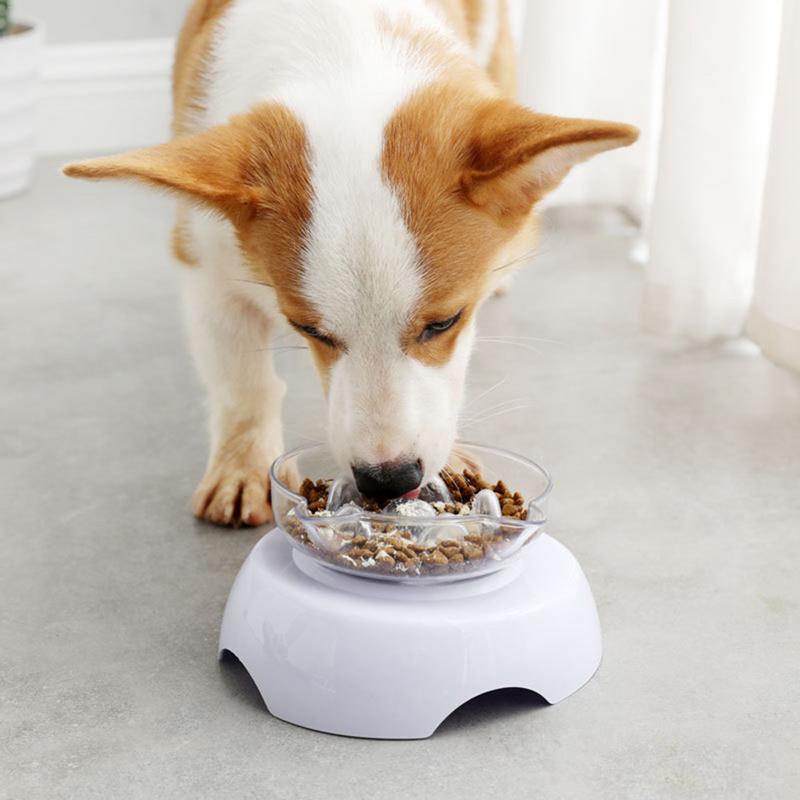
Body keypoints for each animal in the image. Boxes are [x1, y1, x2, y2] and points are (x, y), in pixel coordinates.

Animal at [64, 0, 636, 528]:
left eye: (444, 322)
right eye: (309, 329)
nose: (389, 480)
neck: (342, 50)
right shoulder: (206, 266)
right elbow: (242, 382)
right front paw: (241, 468)